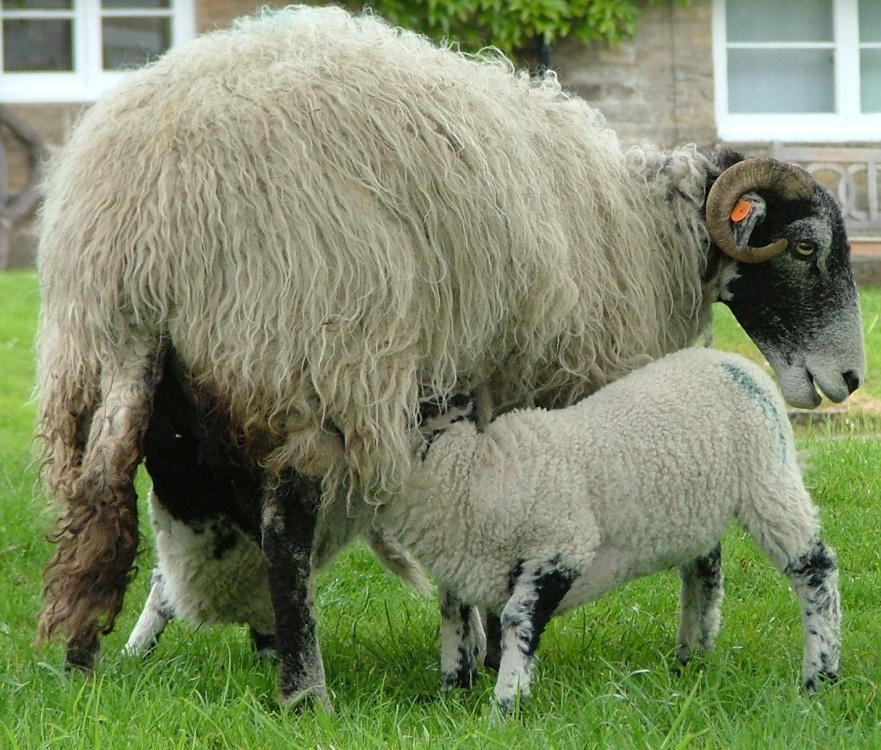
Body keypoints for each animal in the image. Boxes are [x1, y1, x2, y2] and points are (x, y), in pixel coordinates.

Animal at [37, 4, 864, 712]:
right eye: (804, 248)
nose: (852, 378)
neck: (642, 226)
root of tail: (147, 228)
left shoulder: (477, 384)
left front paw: (467, 658)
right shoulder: (529, 384)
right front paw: (490, 654)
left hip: (112, 366)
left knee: (98, 507)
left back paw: (87, 665)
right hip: (306, 354)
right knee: (282, 531)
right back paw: (305, 690)